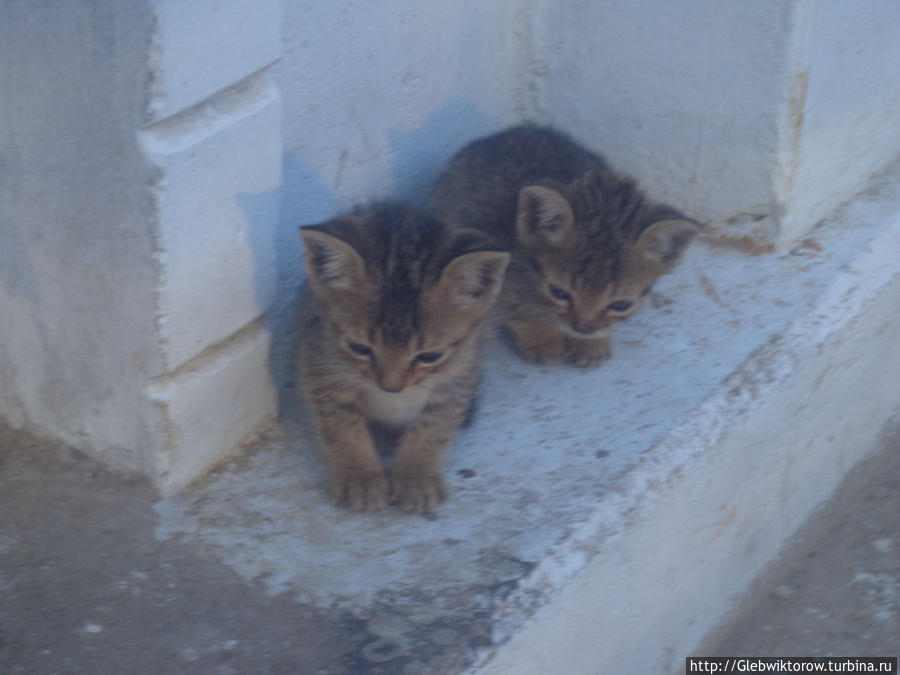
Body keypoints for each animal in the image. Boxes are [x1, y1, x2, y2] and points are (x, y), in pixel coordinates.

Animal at [298, 203, 510, 510]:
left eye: (430, 356)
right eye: (359, 348)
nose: (392, 387)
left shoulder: (460, 372)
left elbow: (434, 426)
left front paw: (415, 475)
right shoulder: (320, 360)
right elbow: (341, 424)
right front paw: (360, 477)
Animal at [432, 124, 700, 368]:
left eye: (621, 305)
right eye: (559, 292)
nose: (583, 328)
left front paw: (590, 344)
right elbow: (519, 308)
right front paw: (542, 340)